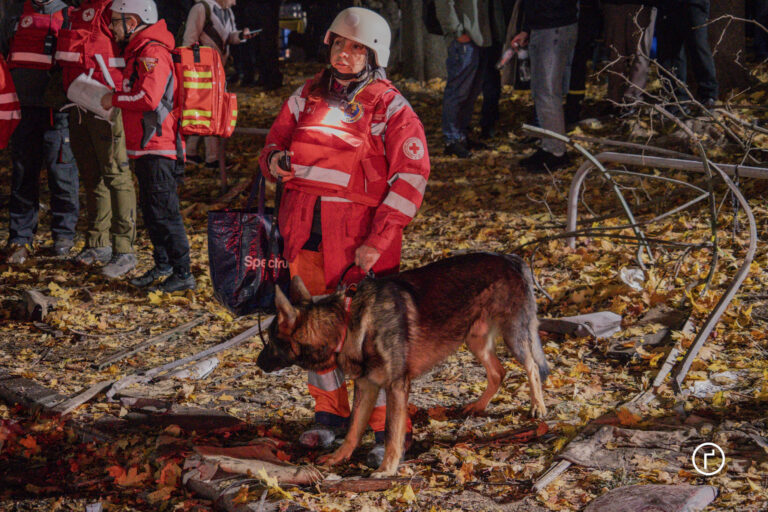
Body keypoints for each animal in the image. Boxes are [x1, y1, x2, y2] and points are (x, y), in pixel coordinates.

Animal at [256, 252, 544, 476]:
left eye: (270, 339)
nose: (257, 363)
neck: (346, 323)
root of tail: (511, 259)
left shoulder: (395, 387)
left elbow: (392, 433)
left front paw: (387, 469)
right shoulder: (366, 386)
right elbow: (353, 429)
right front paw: (340, 457)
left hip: (514, 336)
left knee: (532, 366)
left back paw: (538, 407)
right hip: (475, 340)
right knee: (498, 372)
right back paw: (479, 406)